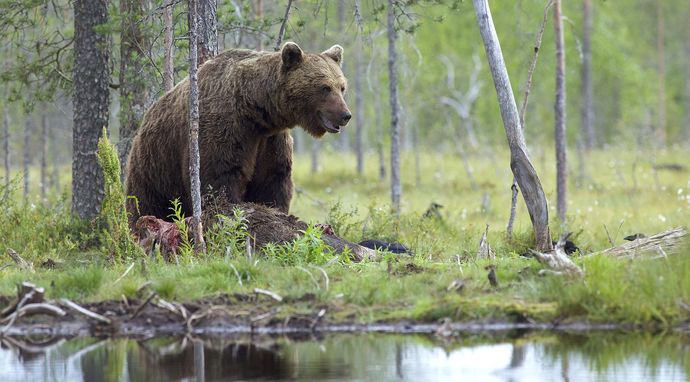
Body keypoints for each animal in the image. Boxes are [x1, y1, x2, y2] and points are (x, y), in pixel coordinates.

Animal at [123, 42, 350, 222]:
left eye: (342, 87)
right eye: (325, 87)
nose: (345, 115)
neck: (256, 110)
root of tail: (144, 122)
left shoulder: (270, 140)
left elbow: (272, 180)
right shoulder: (225, 128)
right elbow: (219, 177)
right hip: (156, 166)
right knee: (147, 203)